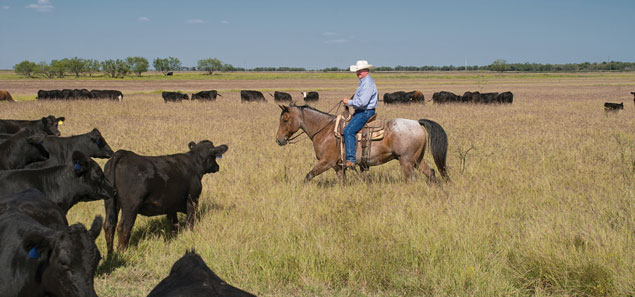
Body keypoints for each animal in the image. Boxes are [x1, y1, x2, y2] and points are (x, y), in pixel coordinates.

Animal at [276, 103, 450, 182]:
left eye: (285, 119)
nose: (278, 139)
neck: (325, 130)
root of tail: (416, 123)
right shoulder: (338, 166)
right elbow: (342, 182)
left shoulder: (326, 162)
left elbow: (308, 176)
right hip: (417, 160)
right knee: (431, 172)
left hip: (406, 161)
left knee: (411, 179)